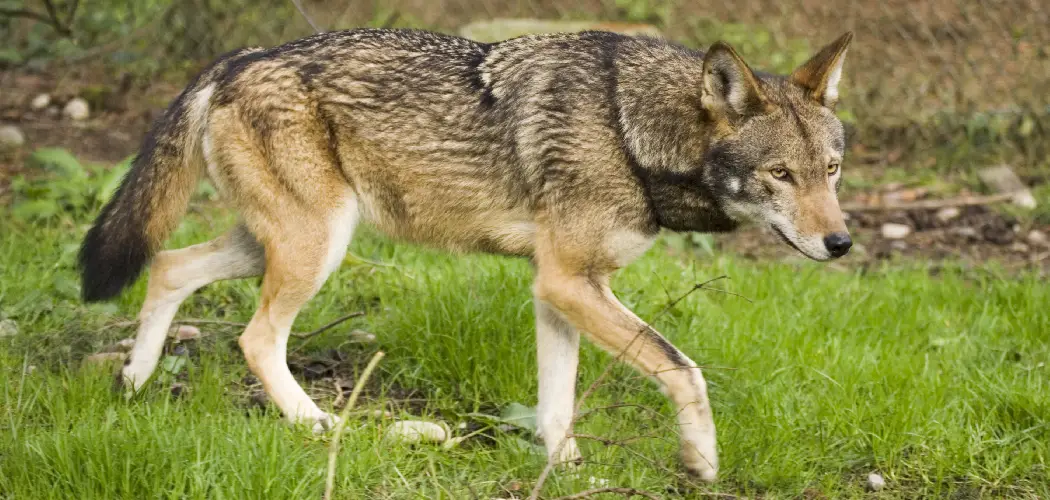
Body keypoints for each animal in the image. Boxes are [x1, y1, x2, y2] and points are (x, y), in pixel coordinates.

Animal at [78, 27, 854, 481]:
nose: (841, 242)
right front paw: (700, 461)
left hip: (283, 244)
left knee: (168, 266)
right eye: (780, 175)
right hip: (315, 249)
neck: (629, 130)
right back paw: (316, 425)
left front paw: (564, 470)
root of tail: (234, 59)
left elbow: (556, 405)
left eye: (831, 171)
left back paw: (135, 381)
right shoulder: (569, 282)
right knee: (254, 336)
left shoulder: (559, 289)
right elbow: (683, 369)